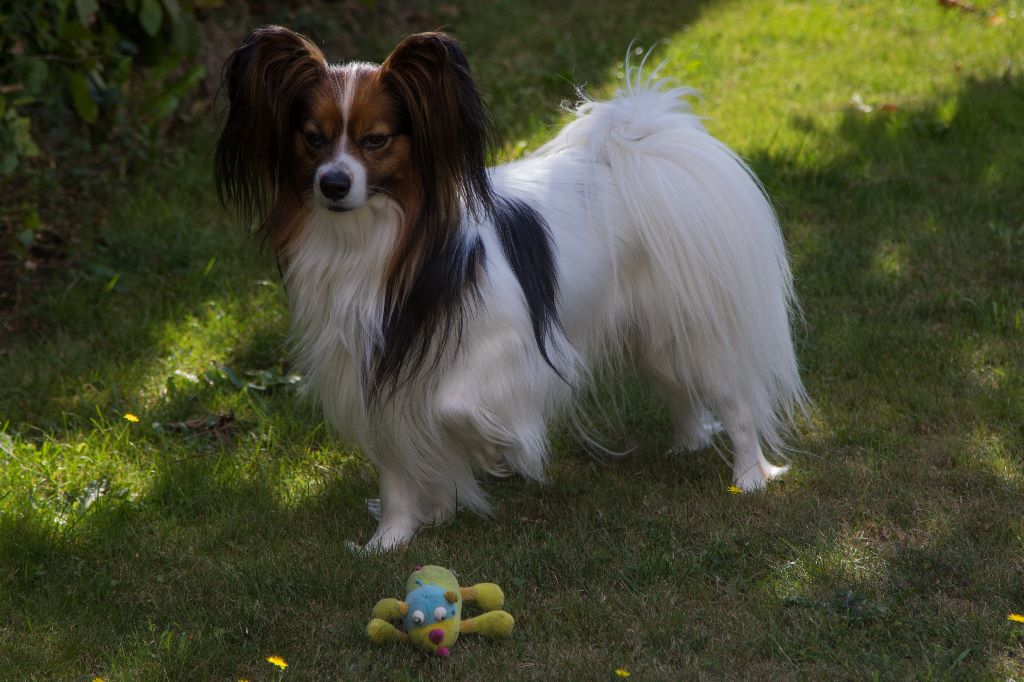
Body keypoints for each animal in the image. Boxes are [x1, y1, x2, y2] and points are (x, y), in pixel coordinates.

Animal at [216, 27, 806, 548]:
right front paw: (392, 537)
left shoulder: (514, 348)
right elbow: (397, 471)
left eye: (374, 140)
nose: (333, 184)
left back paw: (749, 476)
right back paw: (688, 444)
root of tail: (640, 148)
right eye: (312, 139)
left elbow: (455, 406)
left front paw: (494, 451)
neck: (374, 245)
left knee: (735, 399)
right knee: (679, 387)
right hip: (654, 333)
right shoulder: (380, 380)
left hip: (695, 326)